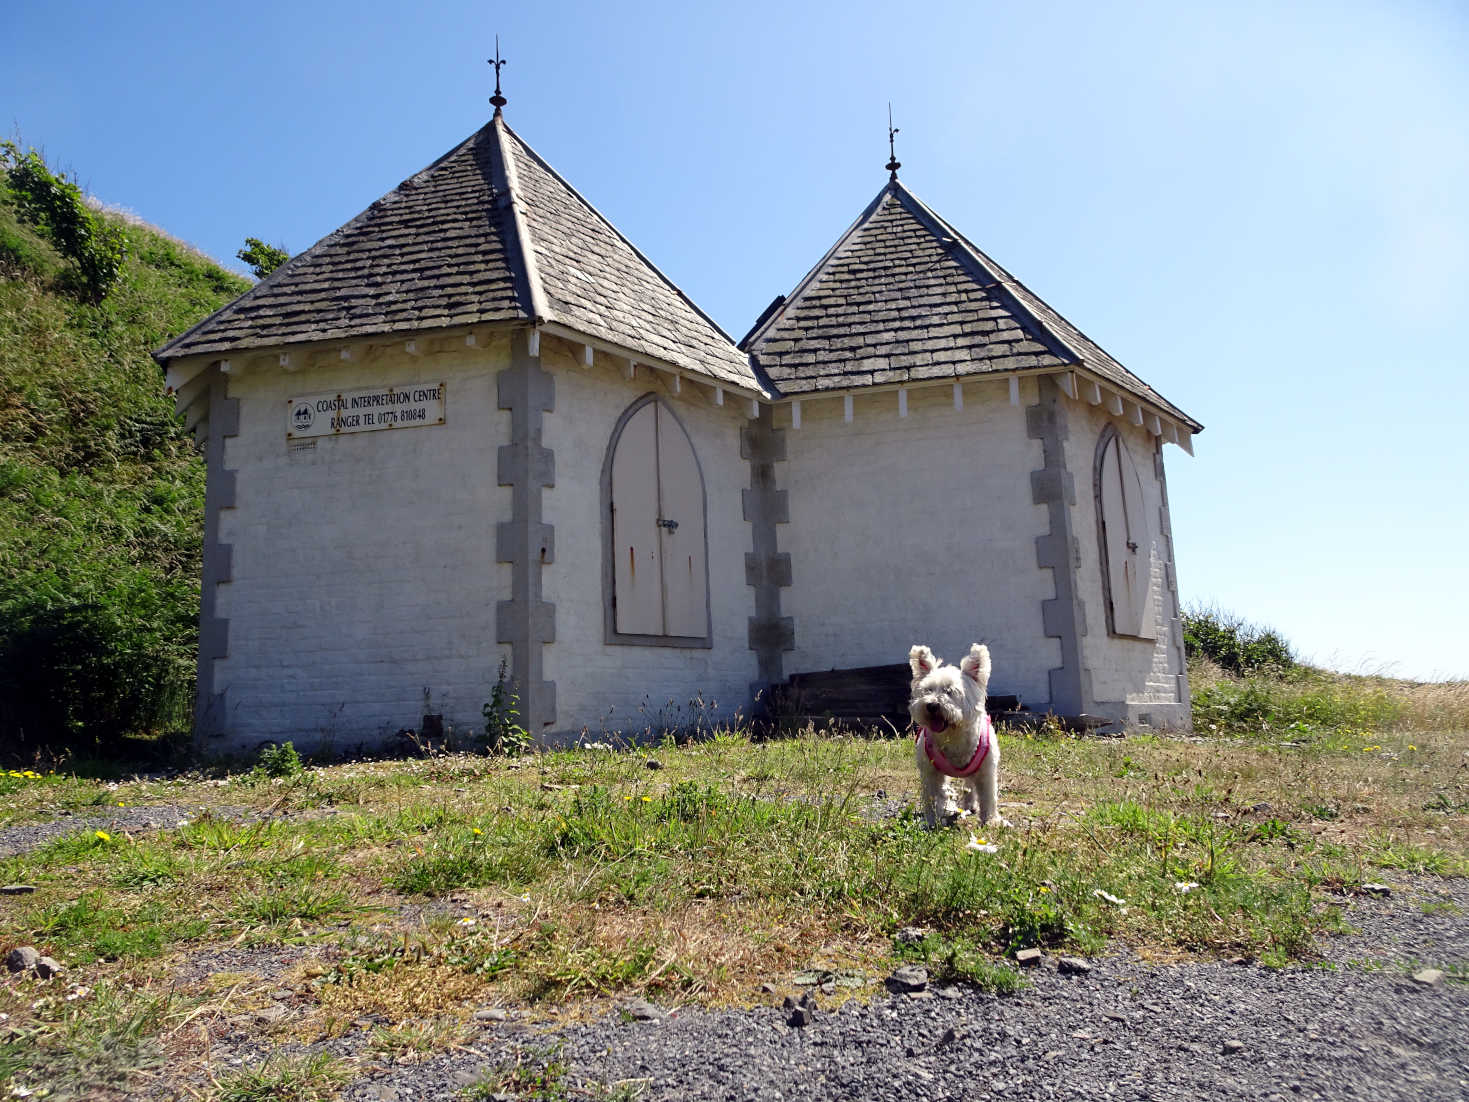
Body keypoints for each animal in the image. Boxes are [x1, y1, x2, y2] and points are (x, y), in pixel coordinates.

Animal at [910, 646, 1004, 828]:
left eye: (950, 691)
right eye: (928, 690)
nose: (932, 705)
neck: (953, 734)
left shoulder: (986, 771)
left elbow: (988, 796)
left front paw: (990, 820)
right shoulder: (930, 772)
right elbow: (932, 797)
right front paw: (931, 820)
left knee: (969, 785)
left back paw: (970, 804)